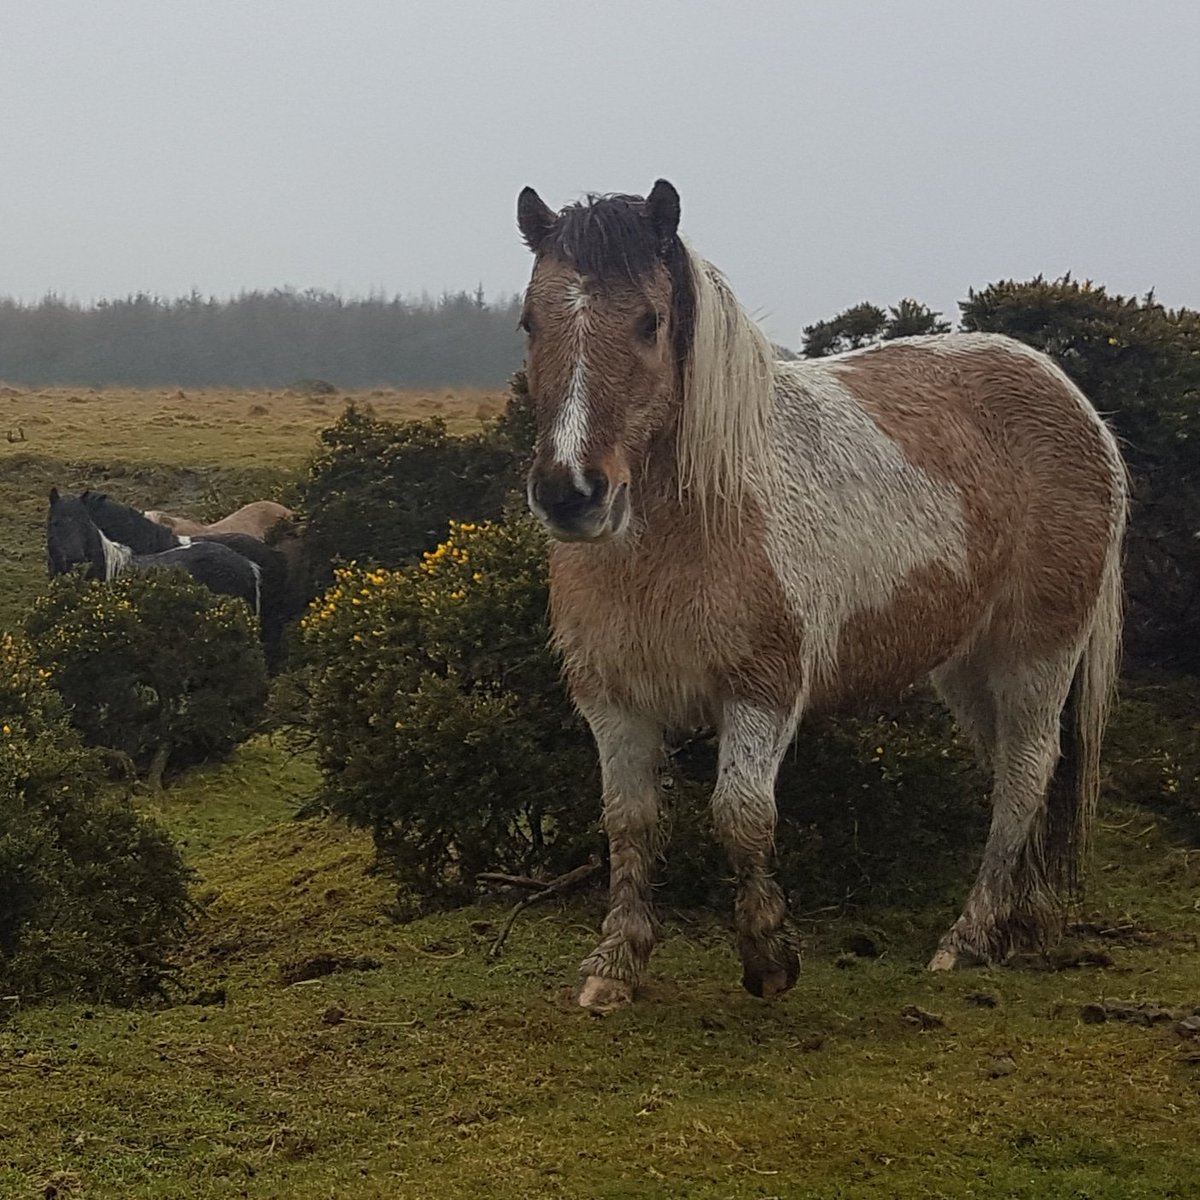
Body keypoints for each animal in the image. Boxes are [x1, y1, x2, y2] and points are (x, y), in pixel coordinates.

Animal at [515, 180, 1128, 1011]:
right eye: (530, 321)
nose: (572, 493)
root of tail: (1076, 403)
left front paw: (768, 955)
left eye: (649, 322)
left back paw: (966, 938)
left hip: (1037, 652)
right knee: (1012, 771)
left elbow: (740, 816)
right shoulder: (613, 699)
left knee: (1027, 772)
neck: (690, 522)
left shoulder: (764, 690)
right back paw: (1015, 925)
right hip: (966, 668)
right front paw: (616, 964)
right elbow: (630, 822)